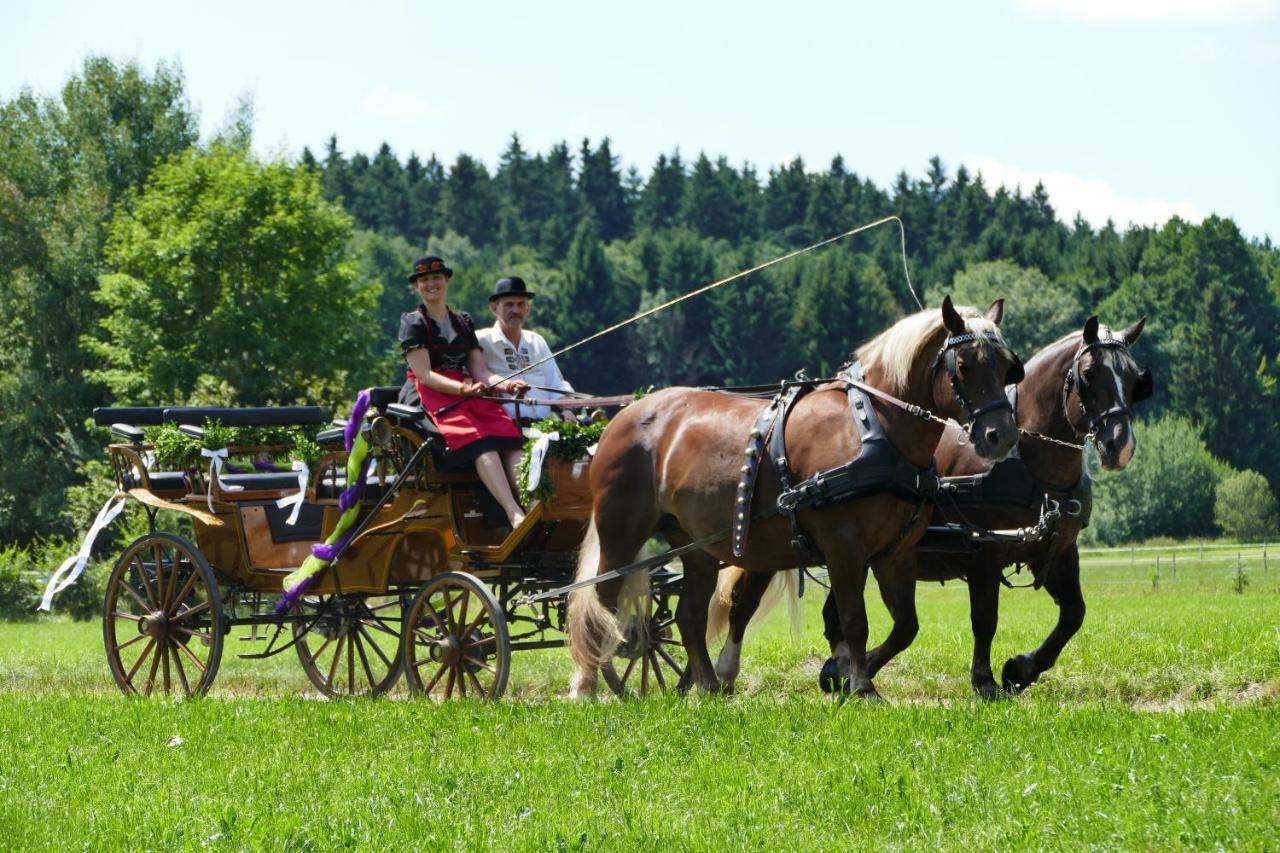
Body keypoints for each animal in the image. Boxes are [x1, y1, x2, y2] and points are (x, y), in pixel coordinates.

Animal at [565, 297, 1024, 696]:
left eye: (1006, 367)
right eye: (963, 365)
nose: (1001, 436)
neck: (875, 427)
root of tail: (625, 414)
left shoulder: (895, 553)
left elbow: (905, 626)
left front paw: (850, 675)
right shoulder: (843, 548)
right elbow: (855, 621)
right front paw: (860, 687)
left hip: (696, 546)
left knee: (689, 617)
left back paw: (709, 687)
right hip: (621, 534)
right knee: (601, 606)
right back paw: (588, 686)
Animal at [721, 315, 1152, 696]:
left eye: (1135, 380)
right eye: (1090, 374)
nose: (1120, 445)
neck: (1031, 461)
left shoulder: (1059, 552)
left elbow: (1073, 615)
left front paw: (1022, 669)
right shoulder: (983, 552)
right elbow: (984, 620)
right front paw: (984, 681)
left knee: (832, 617)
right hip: (776, 546)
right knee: (744, 604)